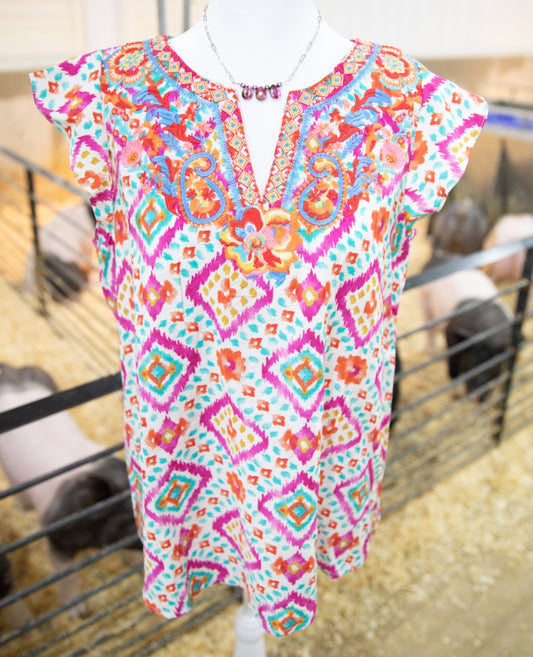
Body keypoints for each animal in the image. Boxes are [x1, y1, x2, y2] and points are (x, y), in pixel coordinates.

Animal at [0, 364, 140, 616]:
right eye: (129, 518)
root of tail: (9, 375)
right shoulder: (55, 535)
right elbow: (67, 575)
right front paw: (78, 613)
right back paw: (23, 506)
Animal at [420, 251, 512, 400]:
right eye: (471, 361)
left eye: (494, 366)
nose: (478, 396)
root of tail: (439, 255)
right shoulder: (451, 335)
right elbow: (453, 369)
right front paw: (455, 395)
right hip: (424, 300)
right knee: (429, 329)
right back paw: (432, 352)